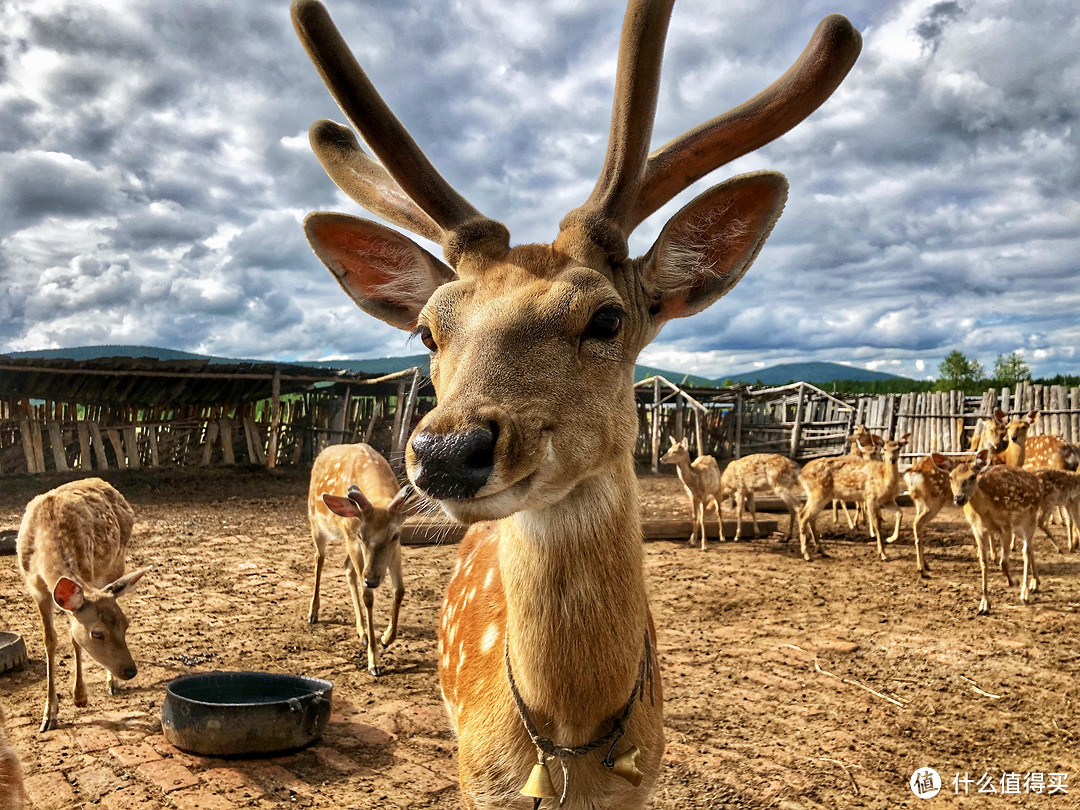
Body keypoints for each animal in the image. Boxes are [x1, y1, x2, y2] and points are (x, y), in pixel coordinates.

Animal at [14, 479, 149, 734]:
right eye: (97, 633)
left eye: (127, 625)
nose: (130, 671)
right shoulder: (36, 588)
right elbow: (50, 640)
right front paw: (48, 716)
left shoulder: (87, 571)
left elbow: (74, 637)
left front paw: (79, 697)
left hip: (116, 563)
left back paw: (110, 683)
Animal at [313, 444, 416, 678]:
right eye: (362, 534)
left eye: (395, 535)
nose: (372, 579)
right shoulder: (352, 537)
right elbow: (367, 596)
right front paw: (374, 662)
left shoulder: (396, 548)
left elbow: (400, 589)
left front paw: (386, 637)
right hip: (317, 525)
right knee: (319, 558)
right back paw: (313, 613)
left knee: (347, 568)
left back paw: (361, 631)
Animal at [902, 414, 1010, 578]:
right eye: (991, 429)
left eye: (1004, 430)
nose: (998, 445)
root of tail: (911, 473)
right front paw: (992, 557)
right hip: (932, 501)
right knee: (917, 524)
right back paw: (921, 569)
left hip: (919, 502)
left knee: (919, 525)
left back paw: (926, 565)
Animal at [933, 451, 1041, 613]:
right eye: (951, 477)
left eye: (972, 476)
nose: (959, 499)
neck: (985, 512)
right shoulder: (977, 529)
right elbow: (983, 562)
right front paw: (984, 604)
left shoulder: (1006, 526)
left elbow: (1003, 562)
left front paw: (1013, 581)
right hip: (1020, 527)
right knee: (1030, 548)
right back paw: (1035, 583)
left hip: (1030, 519)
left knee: (1026, 552)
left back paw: (1025, 594)